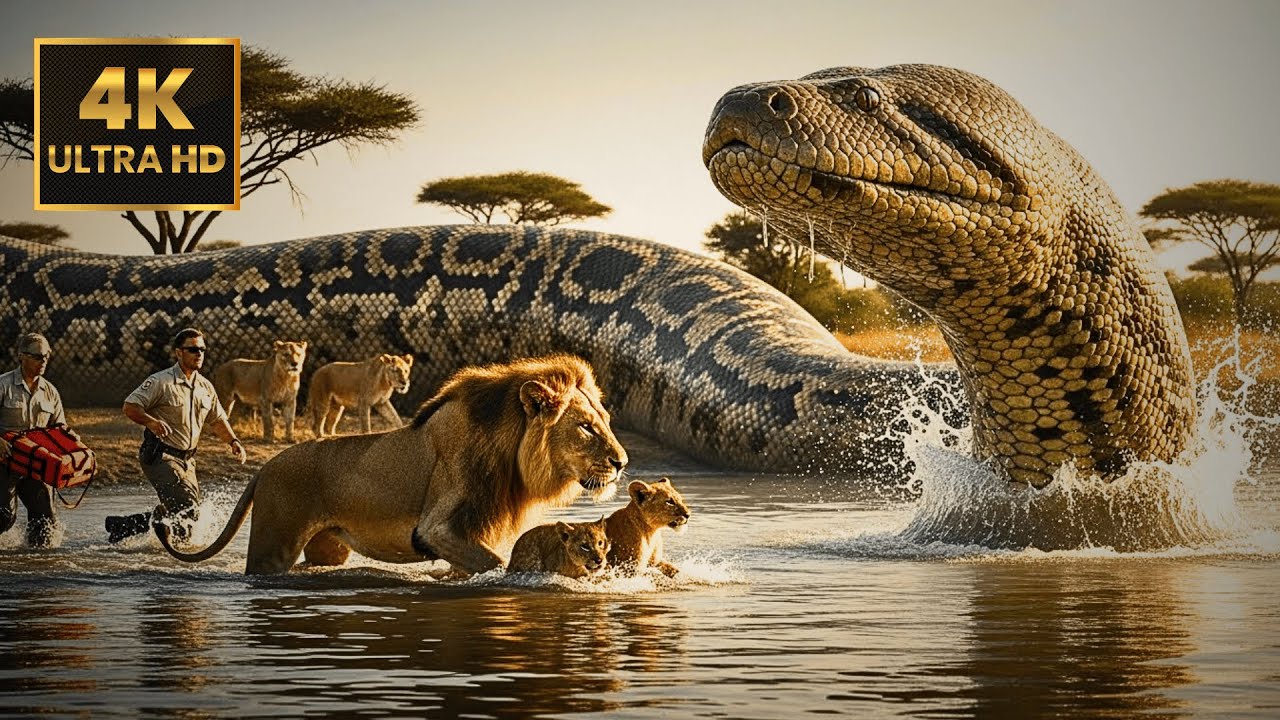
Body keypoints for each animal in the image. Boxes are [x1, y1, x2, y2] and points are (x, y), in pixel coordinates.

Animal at [155, 354, 628, 576]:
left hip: (329, 548)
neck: (511, 451)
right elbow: (498, 565)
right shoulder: (439, 528)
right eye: (586, 427)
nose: (622, 463)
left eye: (605, 421)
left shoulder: (466, 535)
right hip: (274, 544)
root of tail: (262, 468)